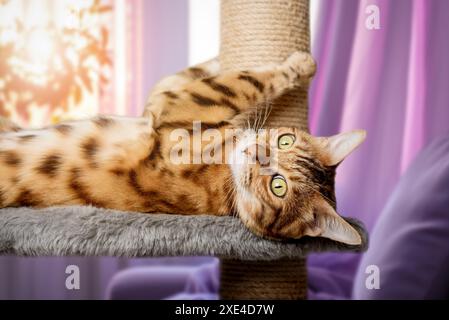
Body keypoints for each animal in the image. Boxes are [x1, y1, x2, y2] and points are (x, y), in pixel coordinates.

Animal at [0, 51, 364, 244]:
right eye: (284, 140)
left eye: (279, 186)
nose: (257, 153)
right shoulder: (160, 103)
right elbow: (198, 72)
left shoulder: (178, 107)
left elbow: (245, 81)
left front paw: (301, 64)